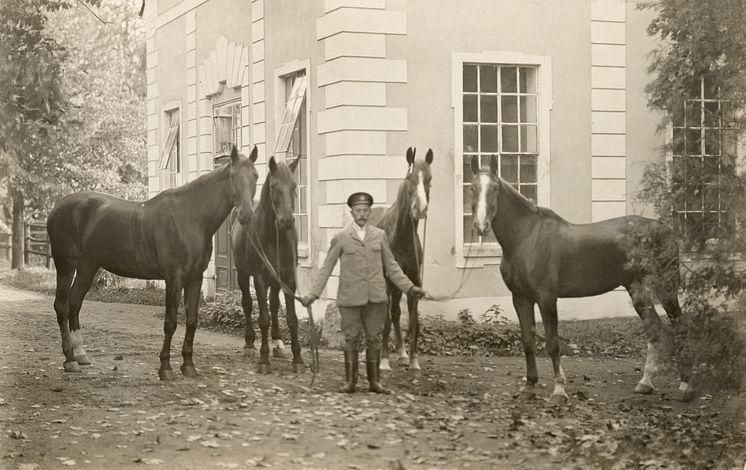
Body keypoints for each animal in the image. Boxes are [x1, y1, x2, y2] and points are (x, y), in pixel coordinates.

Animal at [47, 145, 258, 380]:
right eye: (232, 176)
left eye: (256, 176)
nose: (246, 214)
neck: (190, 216)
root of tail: (59, 206)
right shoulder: (174, 278)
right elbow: (170, 322)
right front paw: (165, 367)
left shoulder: (195, 278)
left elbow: (192, 321)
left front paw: (188, 365)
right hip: (66, 265)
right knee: (62, 306)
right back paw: (70, 359)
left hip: (87, 267)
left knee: (75, 303)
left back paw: (81, 355)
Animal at [231, 154, 304, 374]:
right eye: (273, 186)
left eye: (294, 185)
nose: (287, 221)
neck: (274, 237)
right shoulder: (260, 279)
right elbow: (263, 318)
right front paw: (264, 360)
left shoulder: (288, 279)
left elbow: (291, 318)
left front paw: (298, 358)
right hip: (243, 274)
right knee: (247, 304)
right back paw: (249, 344)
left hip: (276, 280)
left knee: (274, 305)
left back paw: (278, 342)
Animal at [370, 147, 434, 370]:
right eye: (409, 178)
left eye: (429, 178)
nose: (420, 209)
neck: (401, 236)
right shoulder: (387, 281)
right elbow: (386, 319)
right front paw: (384, 361)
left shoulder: (413, 280)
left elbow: (413, 319)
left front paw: (413, 359)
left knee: (397, 313)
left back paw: (402, 352)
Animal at [464, 156, 692, 402]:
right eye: (472, 187)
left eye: (494, 188)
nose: (481, 226)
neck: (527, 237)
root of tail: (665, 228)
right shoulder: (521, 298)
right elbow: (527, 341)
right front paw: (530, 385)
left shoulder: (546, 299)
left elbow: (552, 343)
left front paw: (559, 390)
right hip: (637, 290)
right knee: (655, 330)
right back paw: (645, 382)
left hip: (666, 288)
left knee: (680, 327)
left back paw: (685, 386)